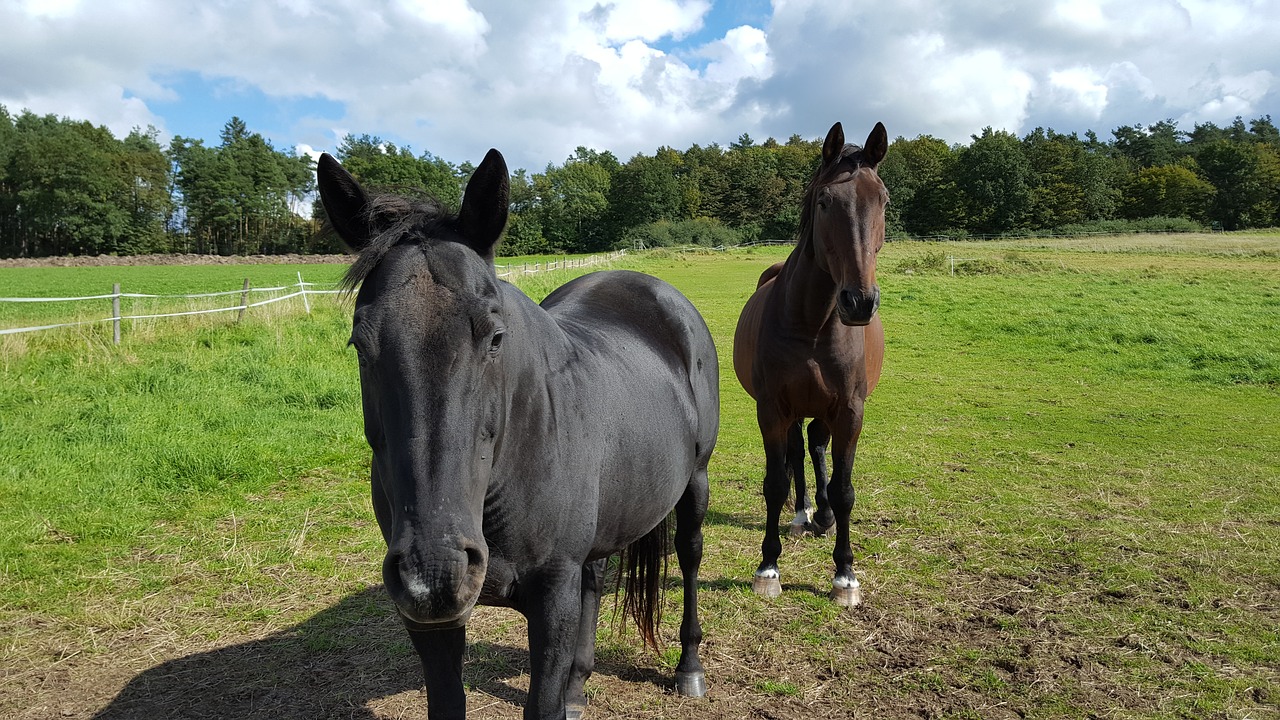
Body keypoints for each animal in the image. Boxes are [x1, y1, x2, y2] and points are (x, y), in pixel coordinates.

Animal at [317, 148, 721, 712]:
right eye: (360, 343)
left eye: (495, 336)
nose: (435, 570)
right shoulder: (427, 619)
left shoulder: (552, 599)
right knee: (596, 575)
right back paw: (579, 686)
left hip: (695, 483)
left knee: (688, 554)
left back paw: (689, 668)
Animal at [737, 121, 885, 604]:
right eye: (825, 202)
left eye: (883, 200)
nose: (859, 302)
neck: (814, 322)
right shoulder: (772, 409)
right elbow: (775, 482)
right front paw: (768, 567)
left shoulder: (850, 410)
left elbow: (843, 489)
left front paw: (845, 575)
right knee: (800, 452)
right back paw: (804, 514)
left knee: (816, 448)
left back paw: (821, 515)